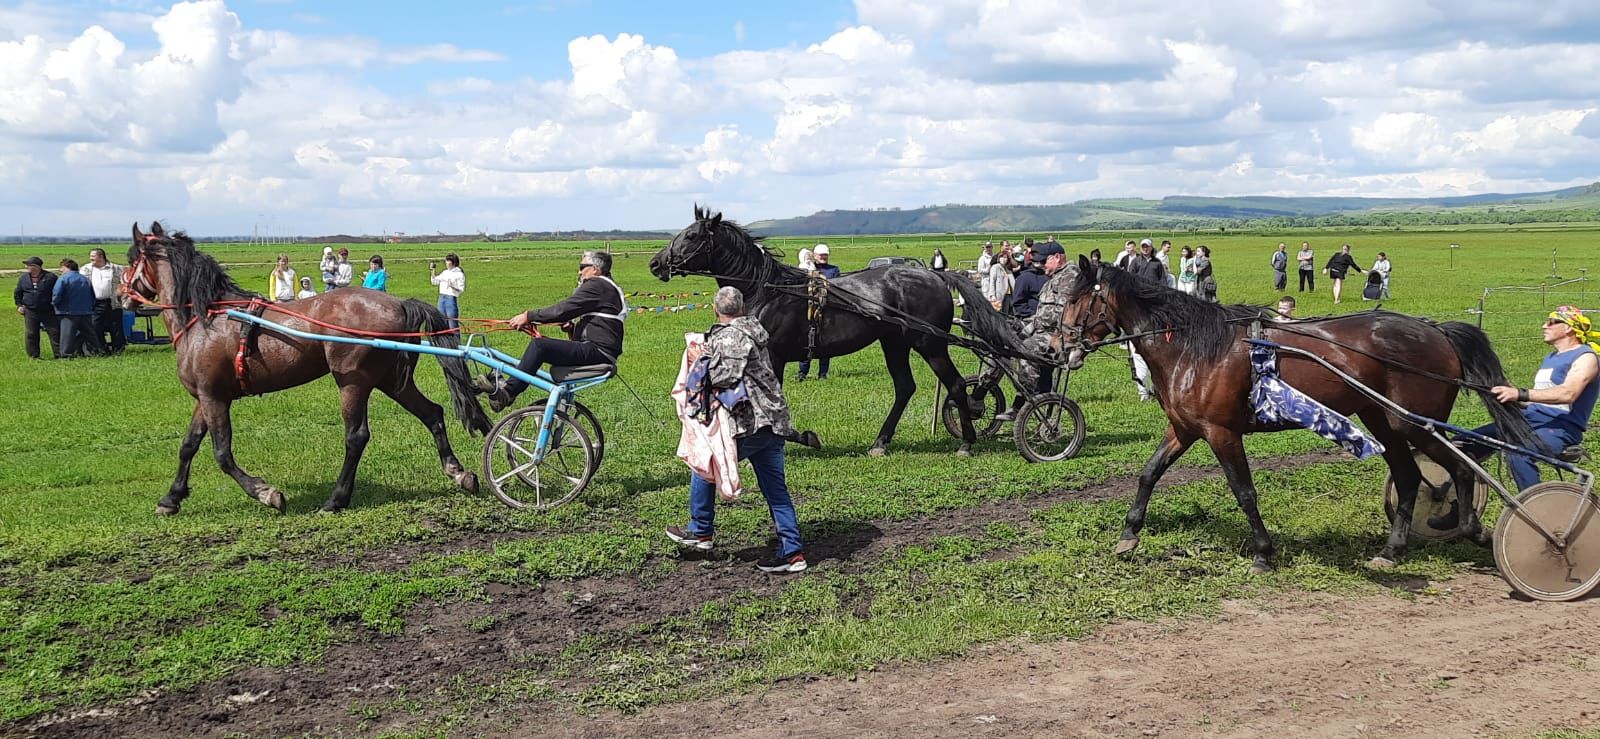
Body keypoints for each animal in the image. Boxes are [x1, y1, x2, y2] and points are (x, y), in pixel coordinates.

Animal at [121, 222, 486, 518]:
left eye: (129, 258)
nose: (123, 296)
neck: (207, 317)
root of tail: (398, 302)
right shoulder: (207, 396)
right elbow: (188, 445)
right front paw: (171, 499)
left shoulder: (214, 398)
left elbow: (222, 453)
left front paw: (266, 493)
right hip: (391, 381)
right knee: (432, 413)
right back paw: (459, 472)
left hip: (353, 382)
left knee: (357, 436)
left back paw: (336, 499)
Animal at [646, 206, 1030, 457]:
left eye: (692, 235)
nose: (655, 263)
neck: (767, 290)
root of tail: (936, 275)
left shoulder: (773, 358)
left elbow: (775, 411)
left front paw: (802, 438)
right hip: (894, 343)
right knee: (905, 387)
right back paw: (880, 442)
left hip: (930, 344)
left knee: (955, 385)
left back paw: (966, 441)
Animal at [1049, 255, 1536, 572]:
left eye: (1077, 301)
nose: (1056, 348)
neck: (1196, 347)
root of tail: (1436, 331)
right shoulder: (1185, 429)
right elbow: (1149, 473)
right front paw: (1129, 534)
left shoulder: (1221, 432)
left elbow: (1244, 492)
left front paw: (1263, 553)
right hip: (1383, 421)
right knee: (1410, 476)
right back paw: (1393, 549)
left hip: (1414, 423)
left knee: (1459, 467)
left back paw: (1470, 527)